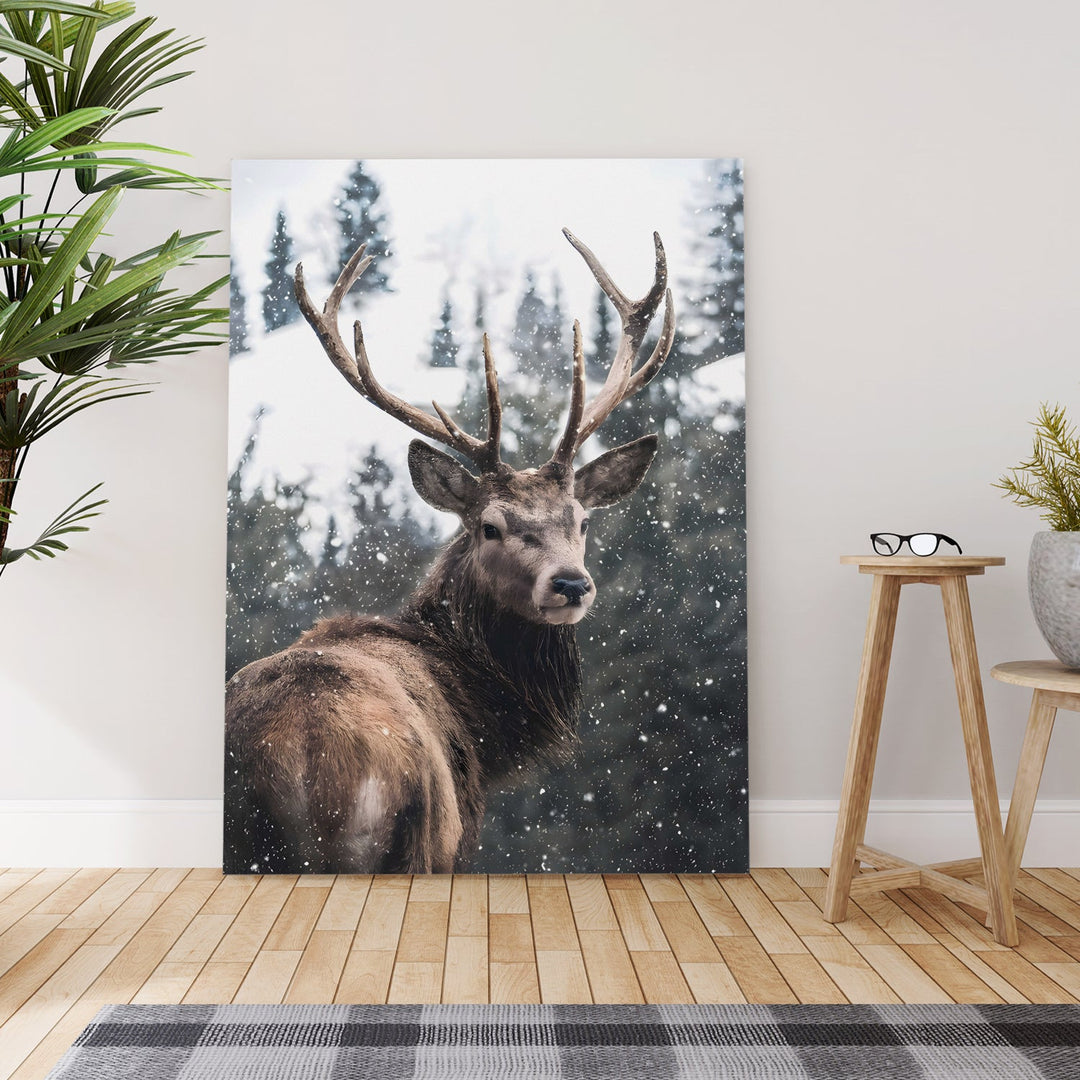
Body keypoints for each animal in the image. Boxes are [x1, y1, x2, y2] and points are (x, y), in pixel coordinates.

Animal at [223, 227, 675, 874]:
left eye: (583, 520)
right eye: (489, 526)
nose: (570, 583)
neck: (481, 720)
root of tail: (299, 761)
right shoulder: (457, 840)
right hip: (411, 841)